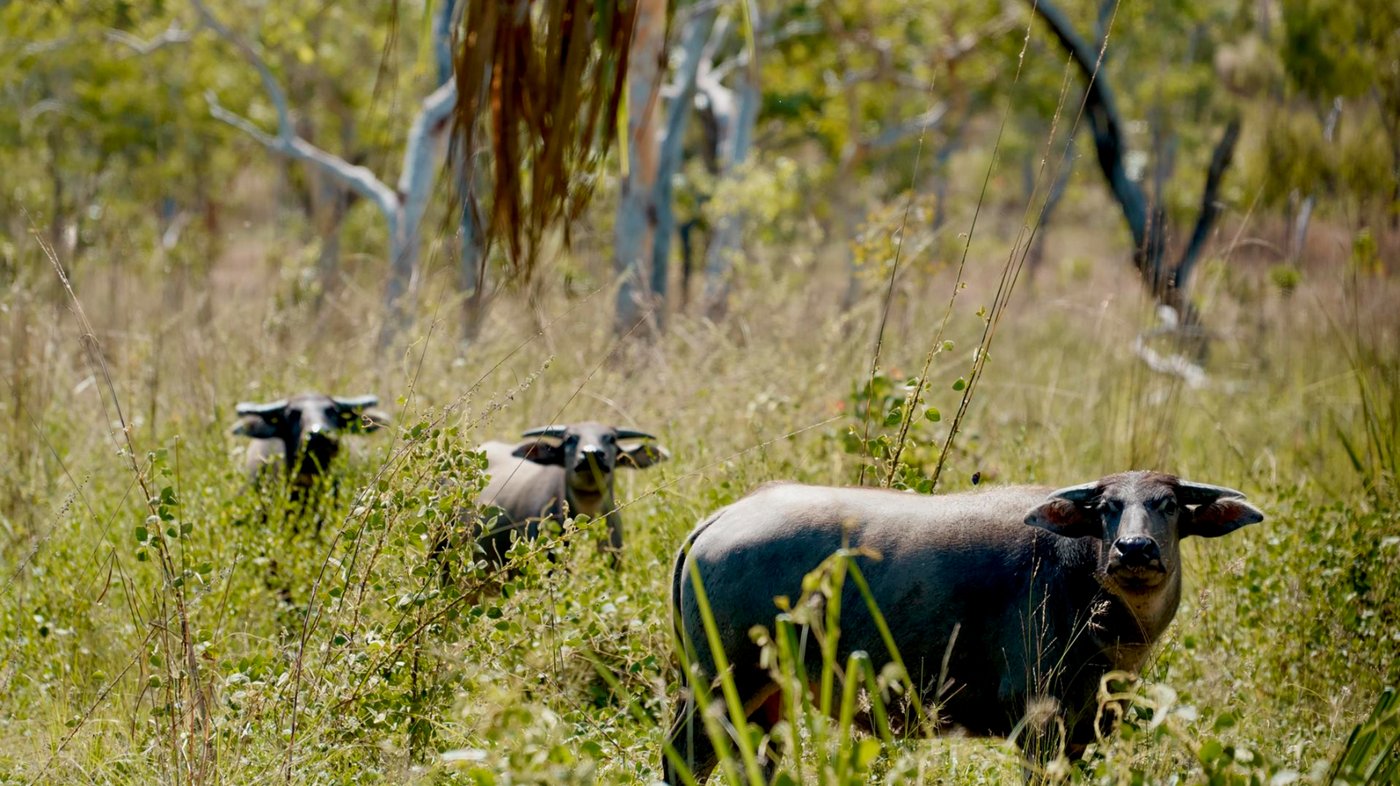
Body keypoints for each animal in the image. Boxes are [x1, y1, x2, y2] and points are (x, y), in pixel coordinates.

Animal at [664, 471, 1263, 782]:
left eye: (1169, 505)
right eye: (1107, 507)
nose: (1134, 549)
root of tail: (720, 519)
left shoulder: (1089, 732)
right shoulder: (1038, 724)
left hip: (764, 695)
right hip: (717, 684)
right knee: (685, 759)